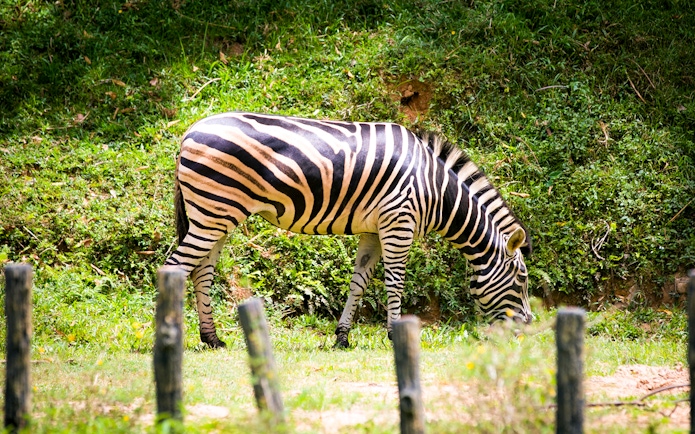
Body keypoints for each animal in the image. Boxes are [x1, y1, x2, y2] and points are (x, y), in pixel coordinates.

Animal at [163, 112, 532, 348]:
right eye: (522, 279)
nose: (528, 327)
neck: (435, 189)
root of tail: (190, 130)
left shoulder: (374, 230)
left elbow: (359, 282)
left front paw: (342, 337)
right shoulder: (399, 222)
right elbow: (395, 282)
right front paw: (394, 335)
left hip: (217, 215)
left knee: (201, 272)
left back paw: (212, 339)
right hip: (214, 211)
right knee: (175, 266)